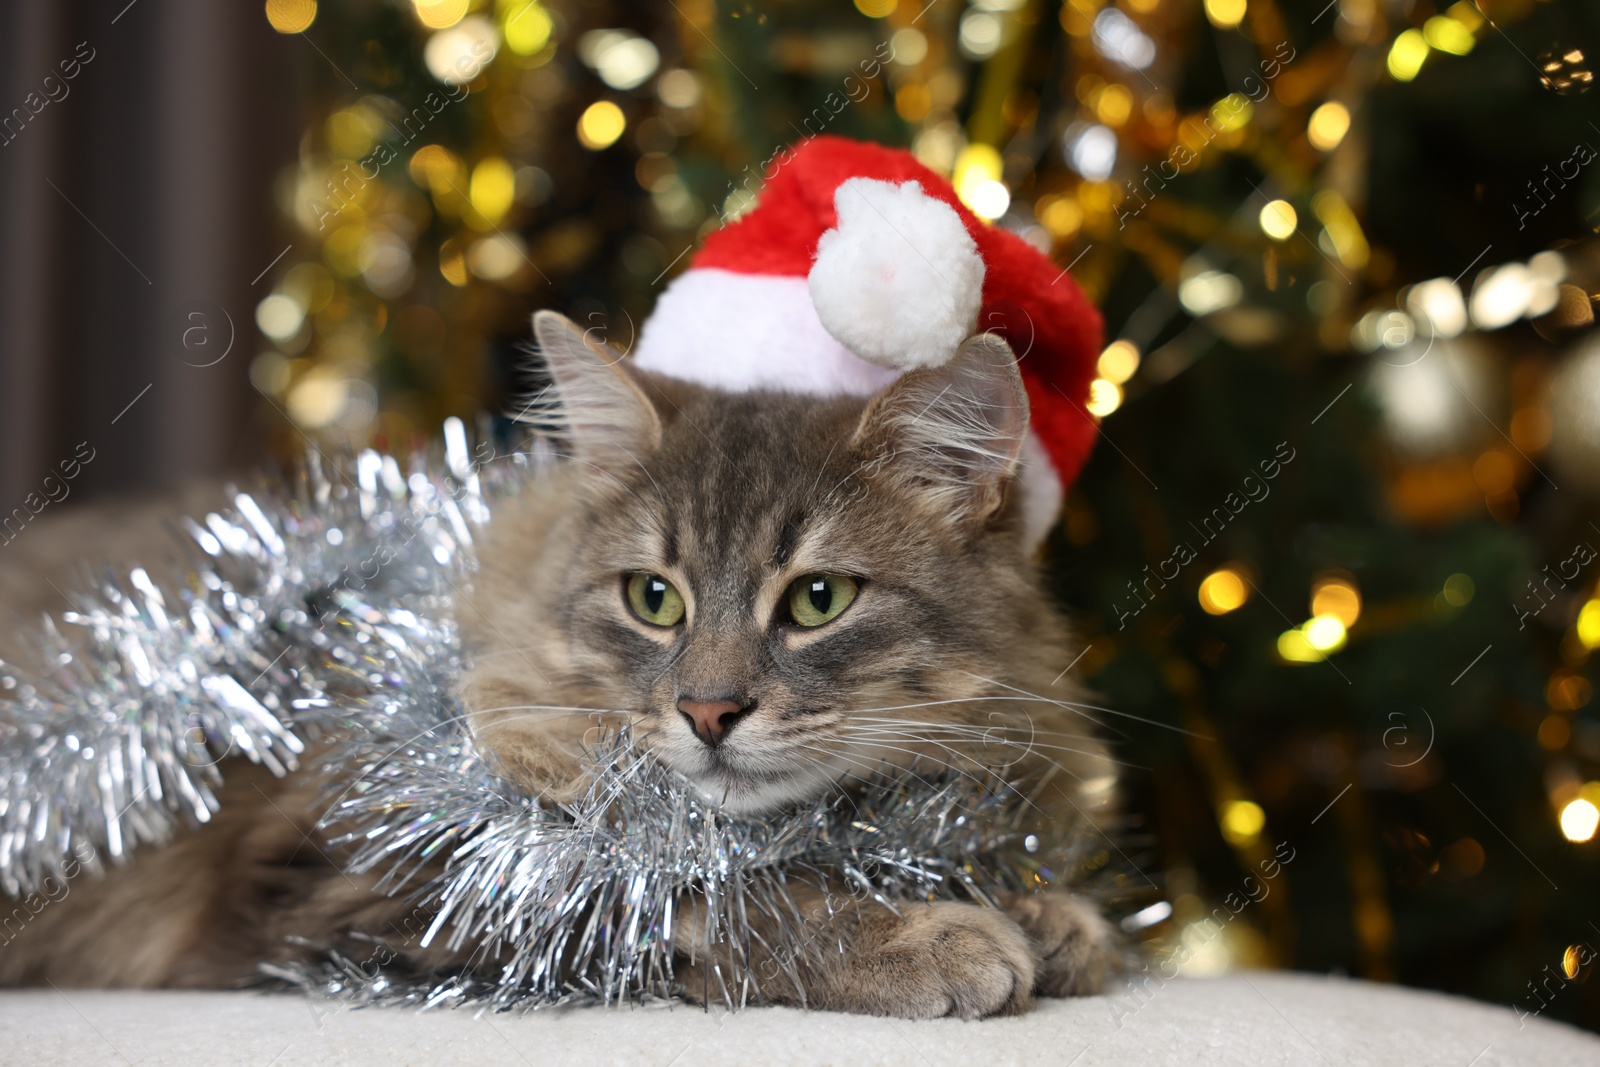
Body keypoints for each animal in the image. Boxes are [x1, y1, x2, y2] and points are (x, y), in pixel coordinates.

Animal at [0, 308, 1120, 1017]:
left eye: (818, 599)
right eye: (652, 598)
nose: (709, 711)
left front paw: (1039, 908)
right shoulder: (369, 878)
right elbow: (703, 895)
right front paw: (920, 935)